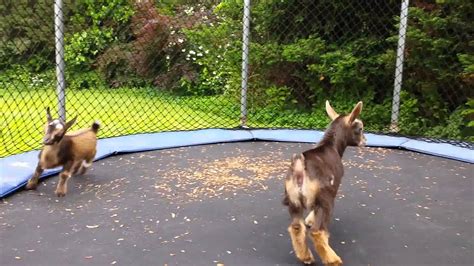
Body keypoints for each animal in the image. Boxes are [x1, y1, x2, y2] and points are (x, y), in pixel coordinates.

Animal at [282, 101, 366, 264]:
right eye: (360, 129)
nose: (365, 142)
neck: (332, 145)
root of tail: (300, 168)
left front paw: (309, 220)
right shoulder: (331, 192)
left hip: (294, 201)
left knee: (296, 228)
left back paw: (306, 256)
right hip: (326, 202)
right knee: (318, 232)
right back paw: (333, 260)